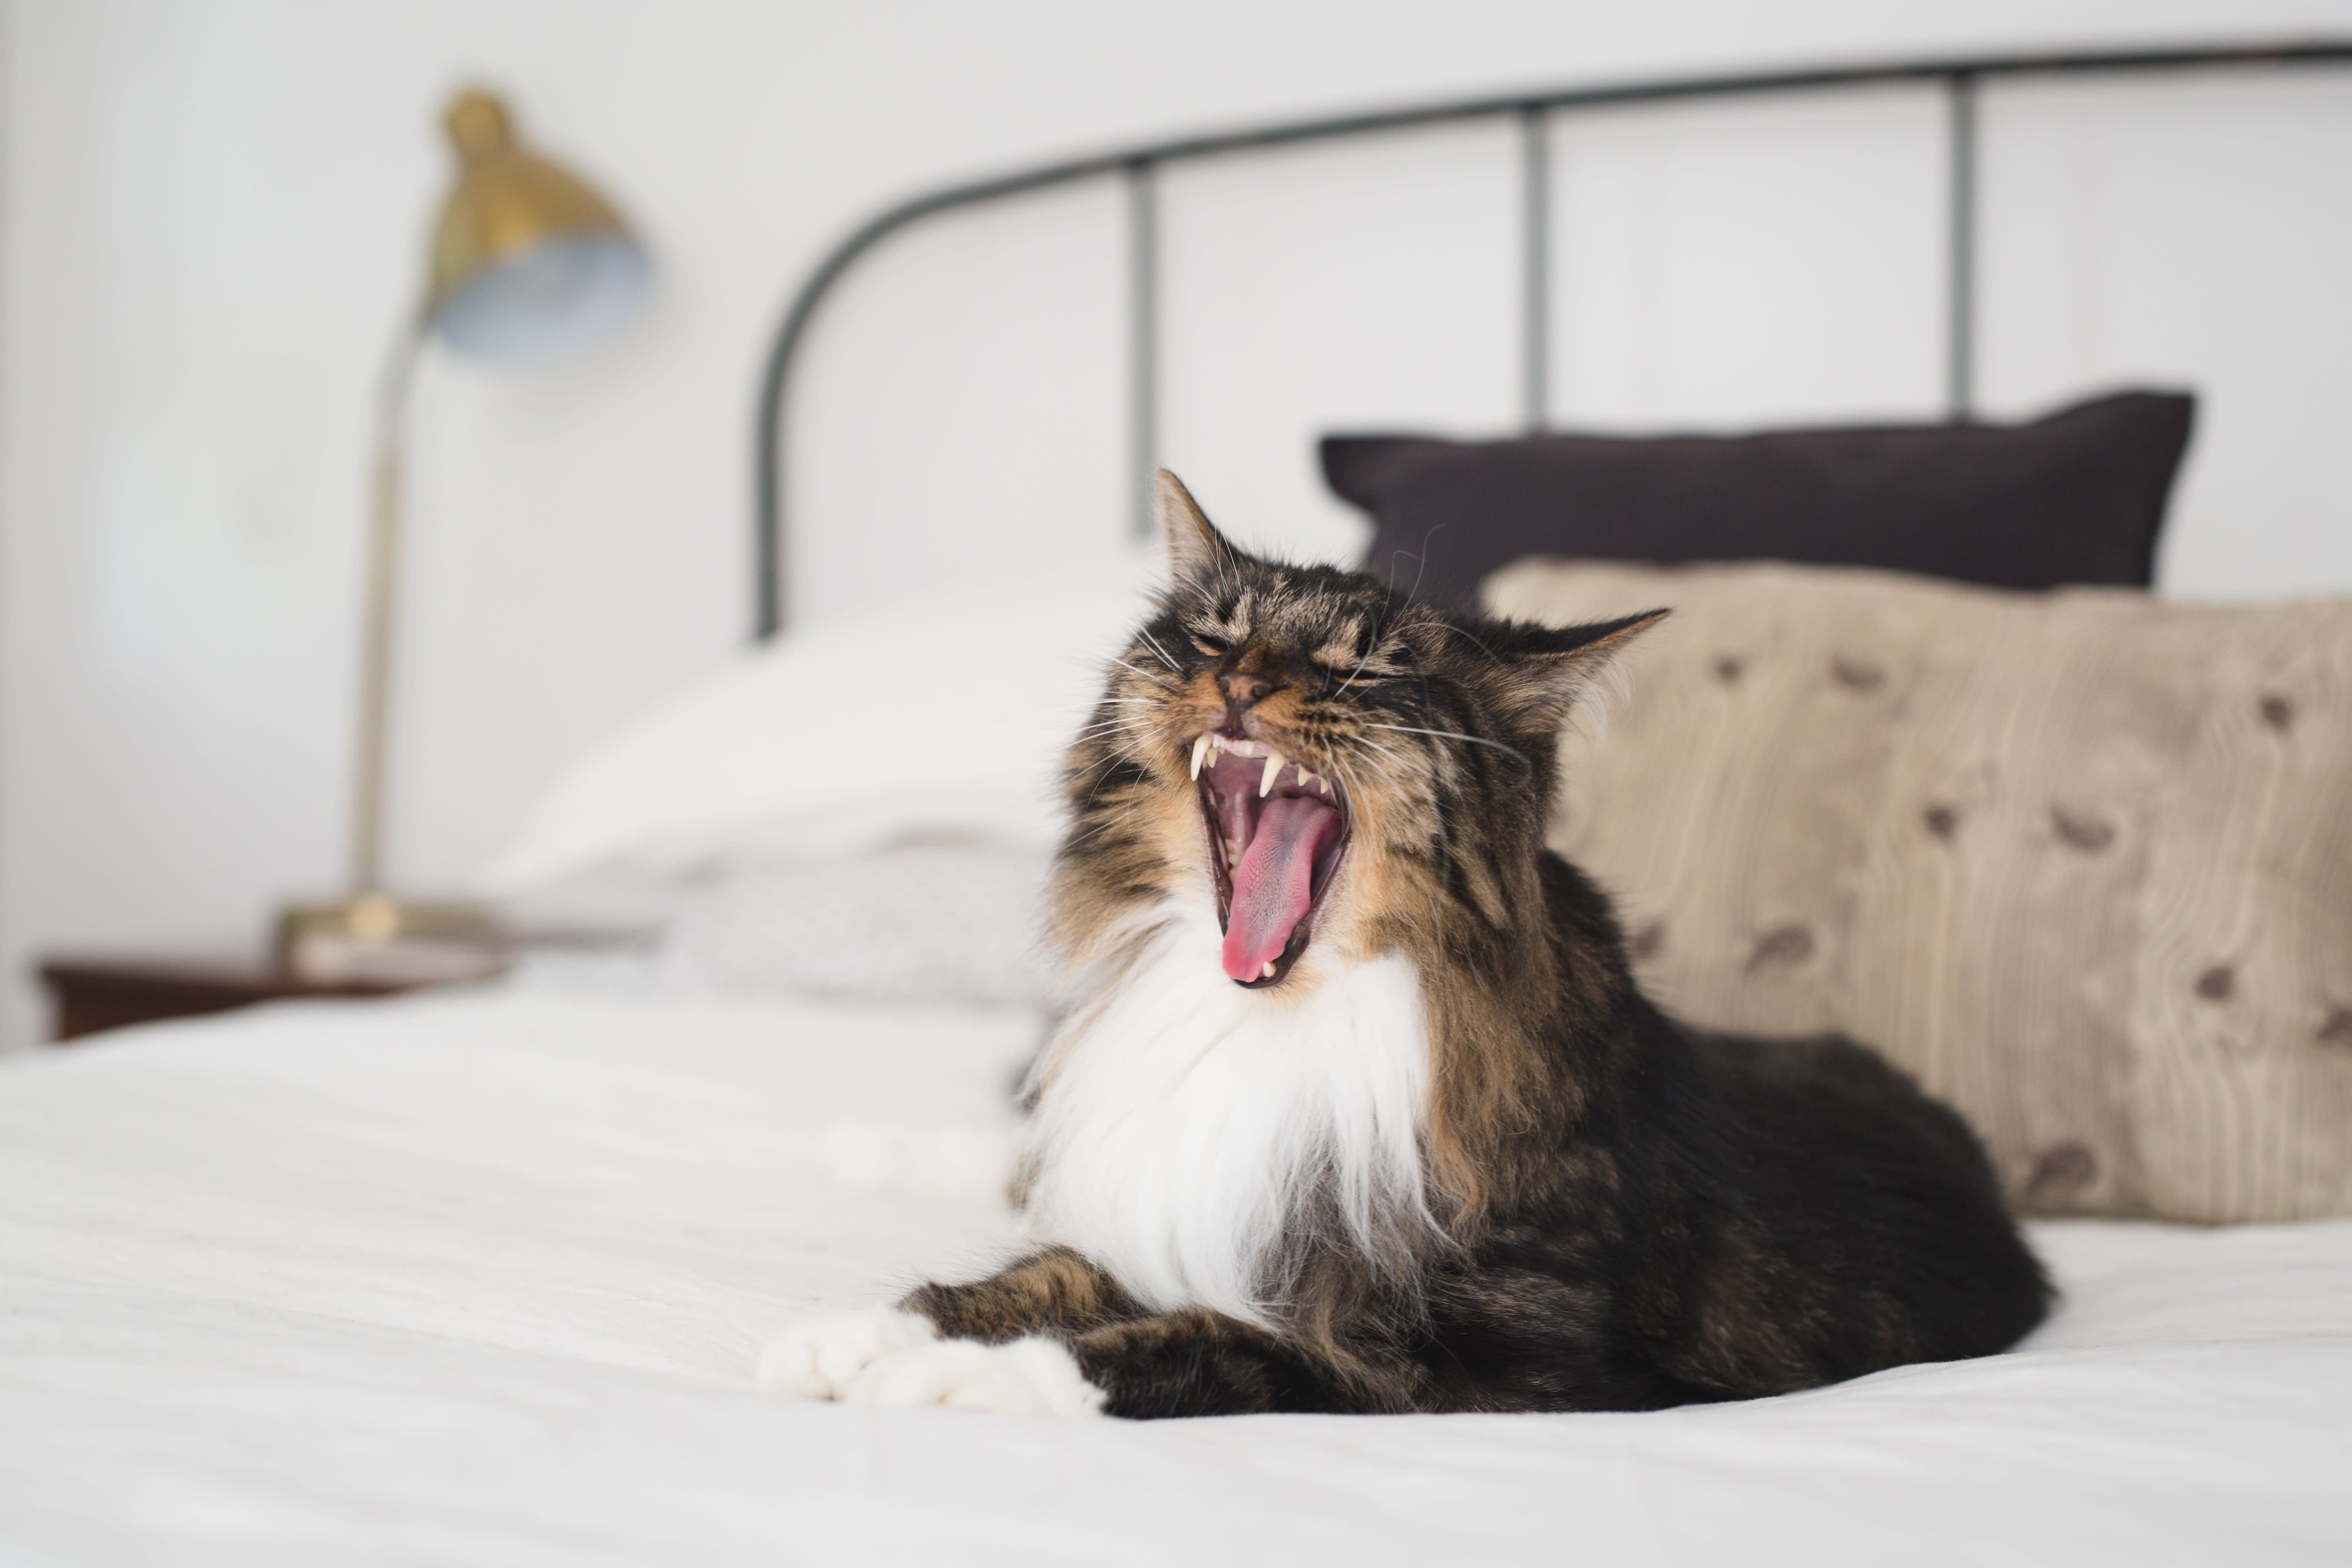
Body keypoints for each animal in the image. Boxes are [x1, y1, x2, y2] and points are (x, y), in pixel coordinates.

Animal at [762, 472, 2051, 1420]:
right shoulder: (1193, 1206)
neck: (1267, 1018)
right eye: (1211, 635)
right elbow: (1039, 1270)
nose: (1240, 678)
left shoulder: (1485, 1357)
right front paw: (860, 1334)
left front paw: (949, 1376)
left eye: (1365, 666)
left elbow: (1197, 1340)